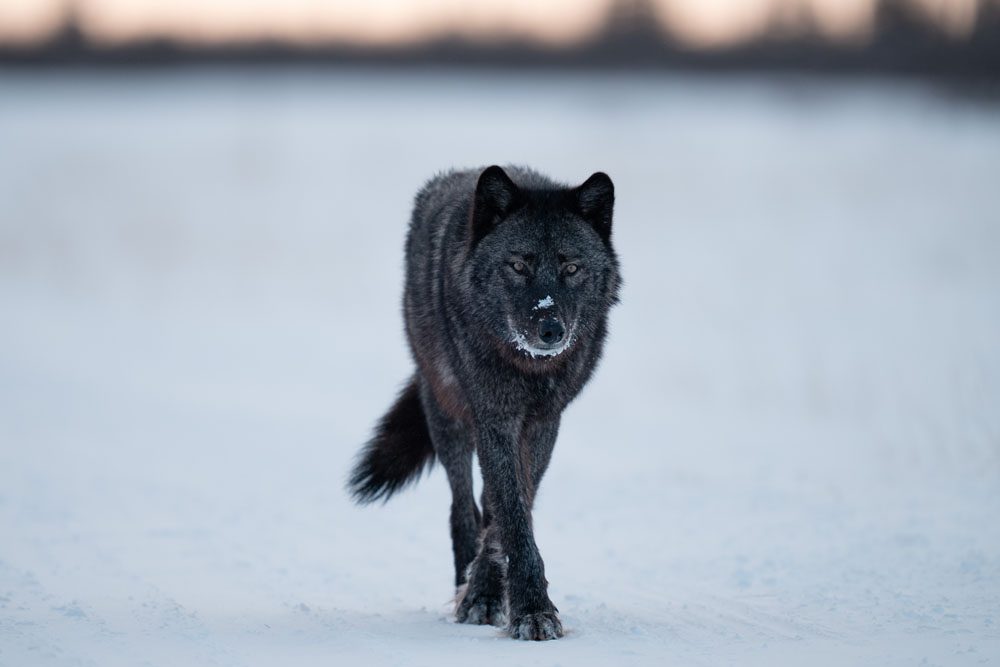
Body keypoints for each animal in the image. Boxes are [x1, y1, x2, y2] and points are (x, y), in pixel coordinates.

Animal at [348, 166, 620, 640]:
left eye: (571, 268)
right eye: (518, 266)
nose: (551, 329)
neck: (526, 367)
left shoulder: (542, 423)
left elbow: (510, 512)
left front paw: (499, 596)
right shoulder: (493, 418)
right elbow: (507, 512)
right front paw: (518, 606)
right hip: (446, 415)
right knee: (461, 508)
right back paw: (462, 580)